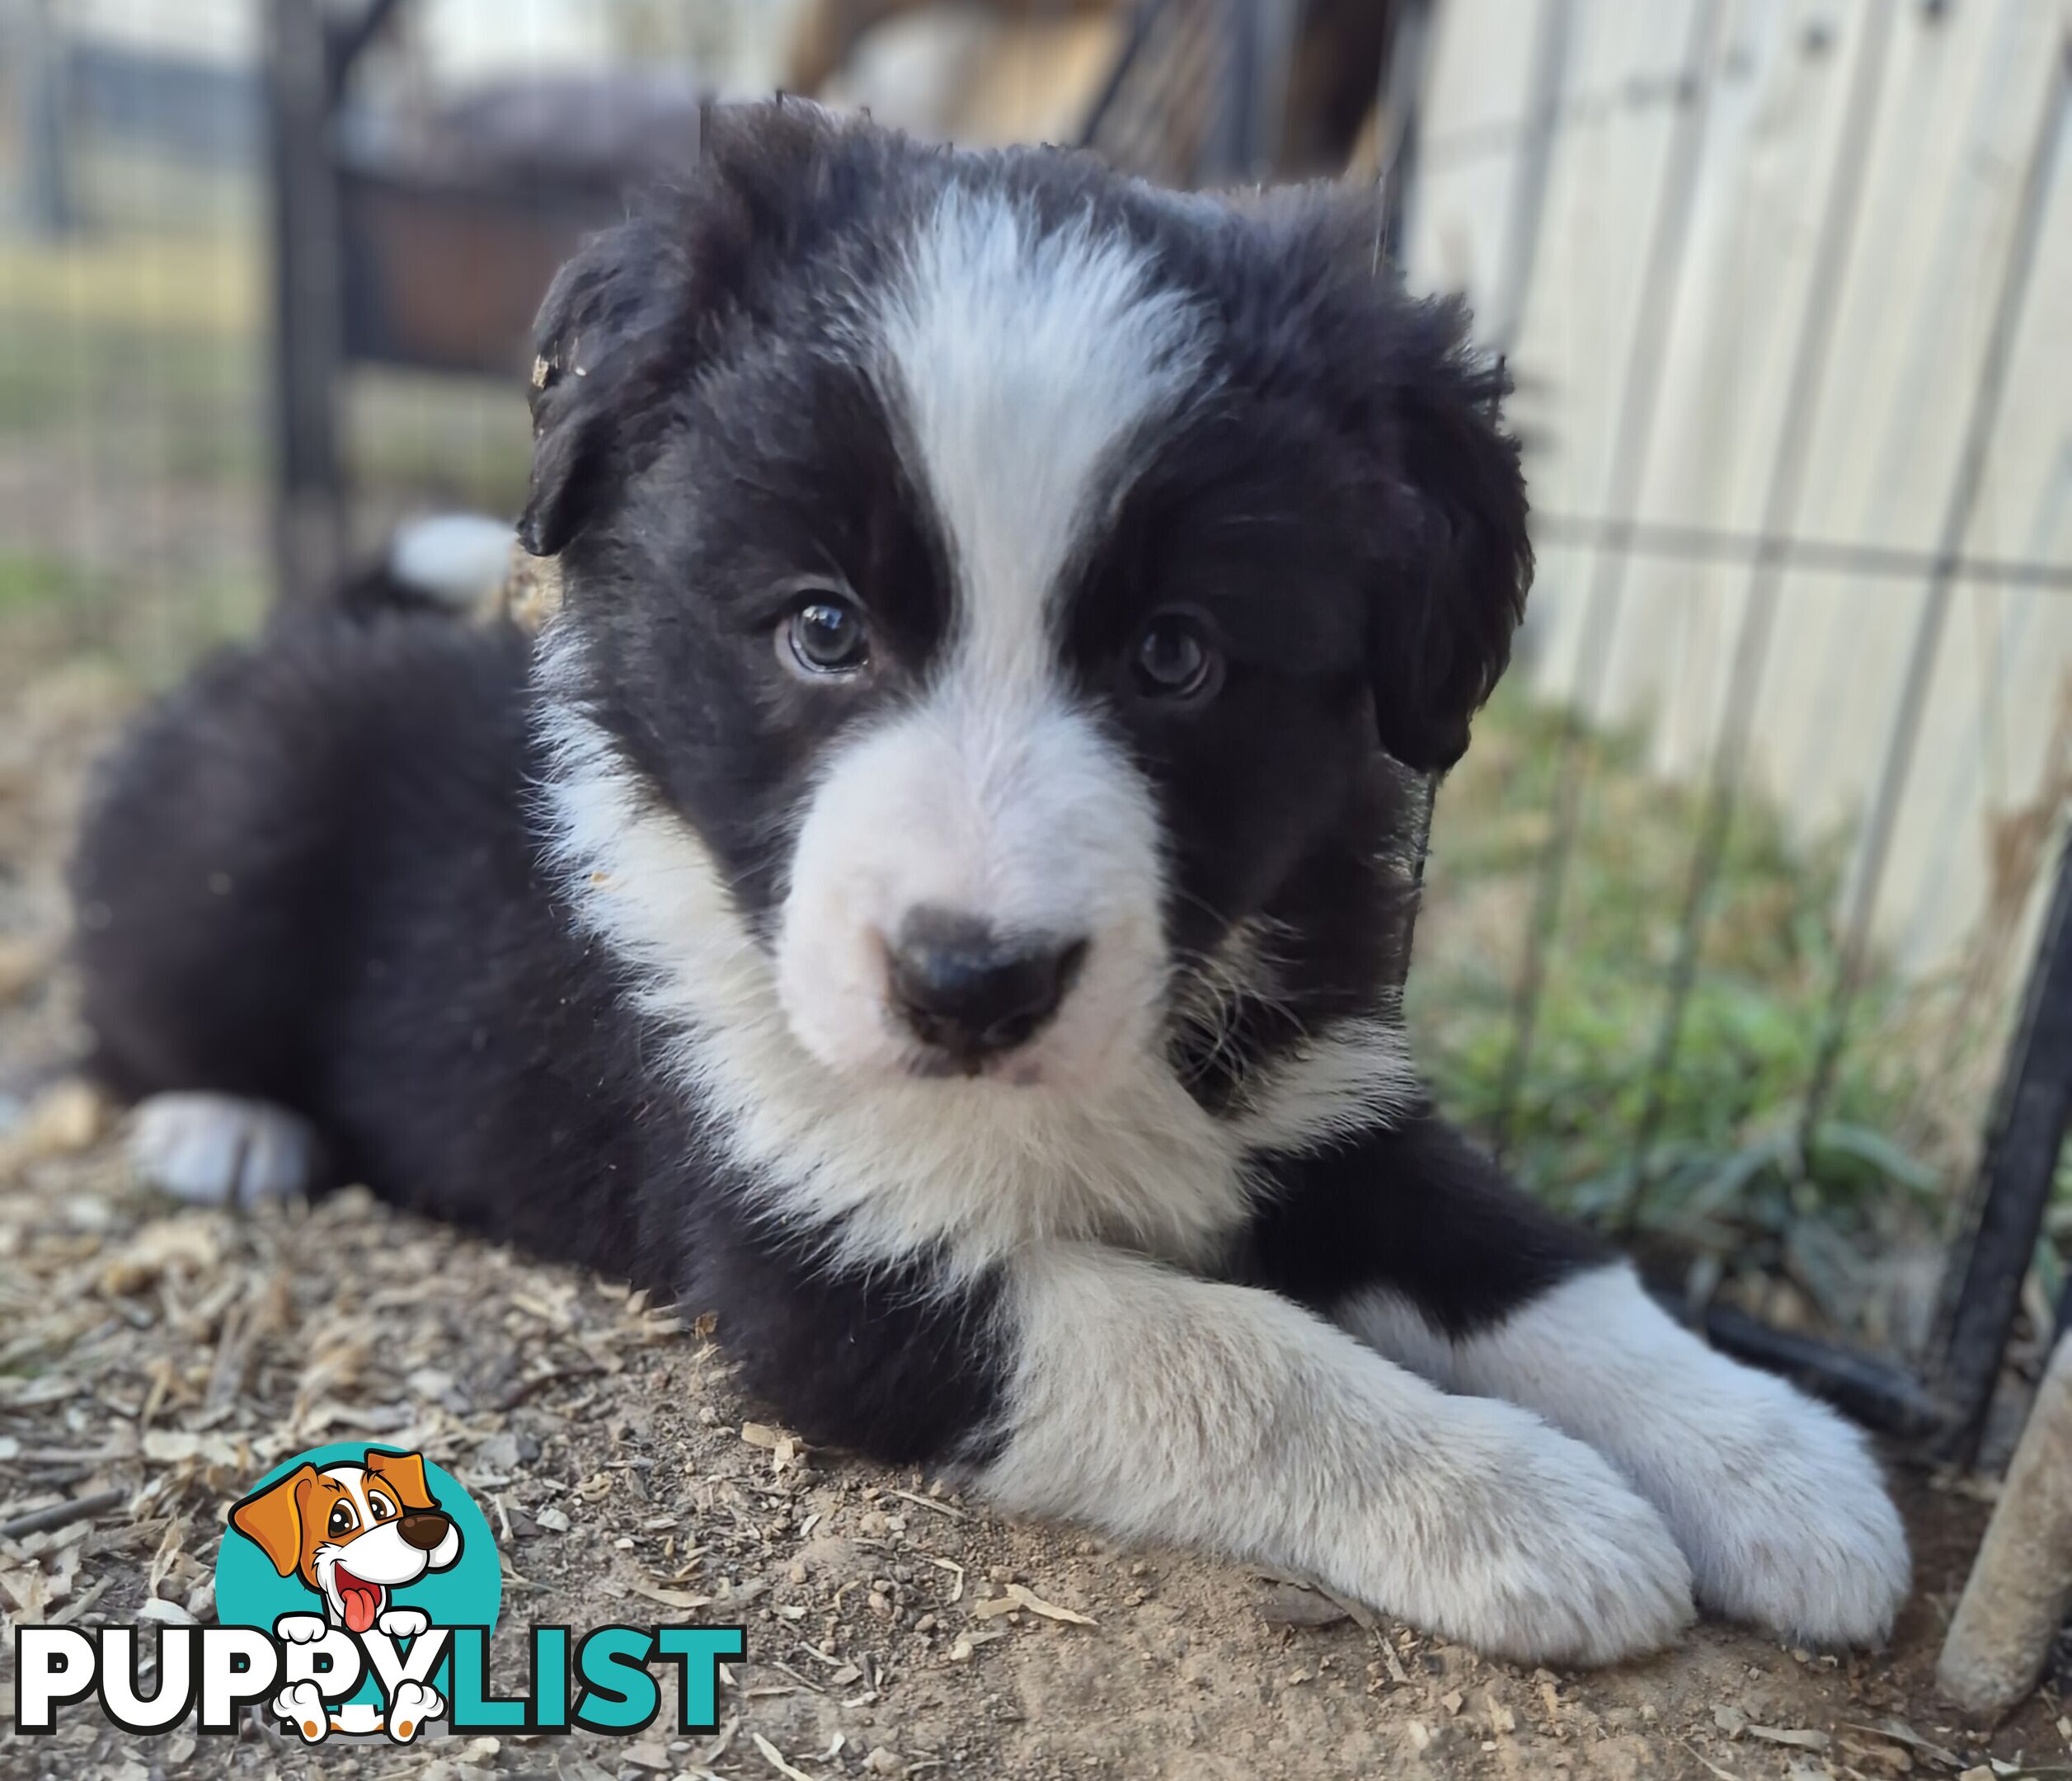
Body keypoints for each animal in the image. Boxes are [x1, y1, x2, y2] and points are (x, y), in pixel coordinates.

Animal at [68, 101, 1905, 1673]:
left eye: (1176, 658)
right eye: (821, 628)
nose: (971, 983)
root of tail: (311, 636)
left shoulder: (1328, 1100)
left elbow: (1532, 1262)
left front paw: (1772, 1464)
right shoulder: (828, 1268)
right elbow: (1228, 1357)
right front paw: (1524, 1508)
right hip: (237, 828)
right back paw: (220, 1125)